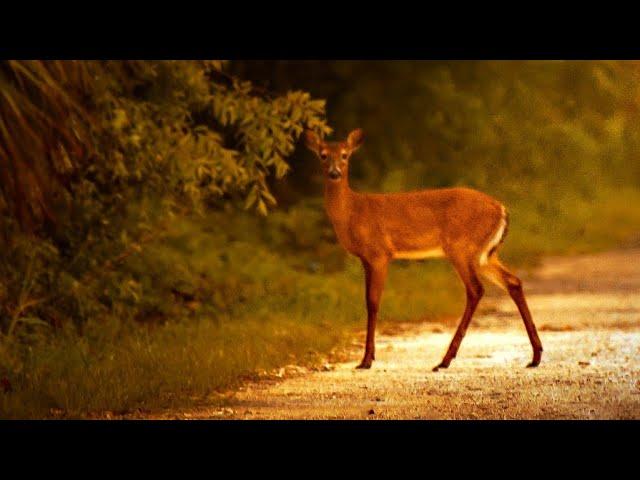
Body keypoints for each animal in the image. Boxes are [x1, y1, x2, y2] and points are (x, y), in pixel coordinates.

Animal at [302, 128, 544, 372]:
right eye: (323, 155)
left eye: (345, 155)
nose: (334, 173)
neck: (352, 212)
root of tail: (501, 209)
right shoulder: (365, 259)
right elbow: (367, 301)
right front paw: (367, 358)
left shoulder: (380, 253)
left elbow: (373, 303)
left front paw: (367, 359)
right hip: (485, 254)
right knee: (513, 281)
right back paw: (535, 356)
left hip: (461, 247)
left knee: (476, 289)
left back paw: (445, 360)